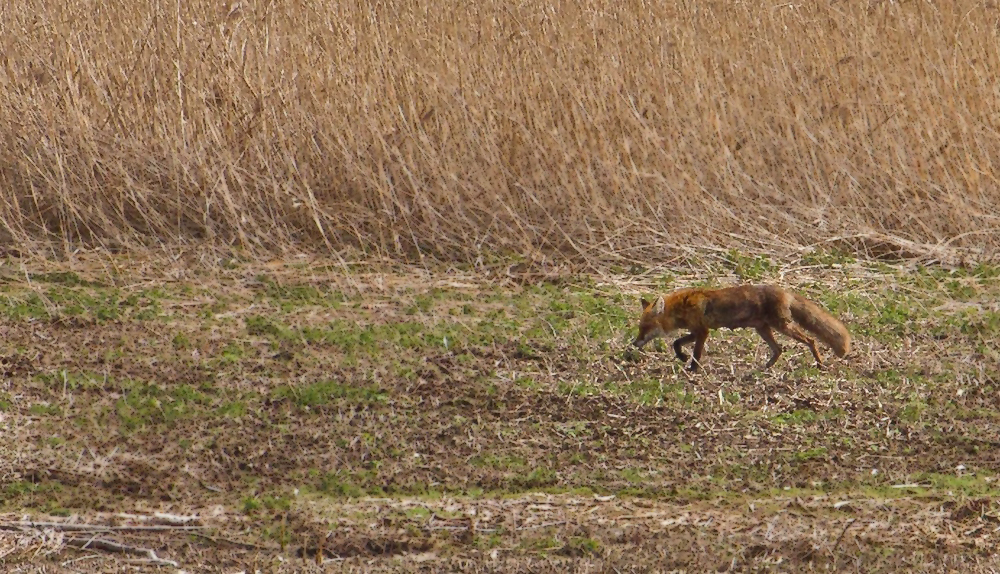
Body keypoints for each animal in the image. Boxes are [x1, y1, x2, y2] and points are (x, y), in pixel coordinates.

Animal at [636, 284, 848, 374]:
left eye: (645, 327)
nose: (635, 343)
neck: (682, 307)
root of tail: (785, 291)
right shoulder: (696, 331)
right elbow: (676, 342)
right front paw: (682, 357)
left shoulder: (702, 332)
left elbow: (695, 353)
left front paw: (692, 368)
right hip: (763, 330)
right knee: (779, 349)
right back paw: (766, 367)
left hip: (783, 327)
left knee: (810, 341)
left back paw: (819, 363)